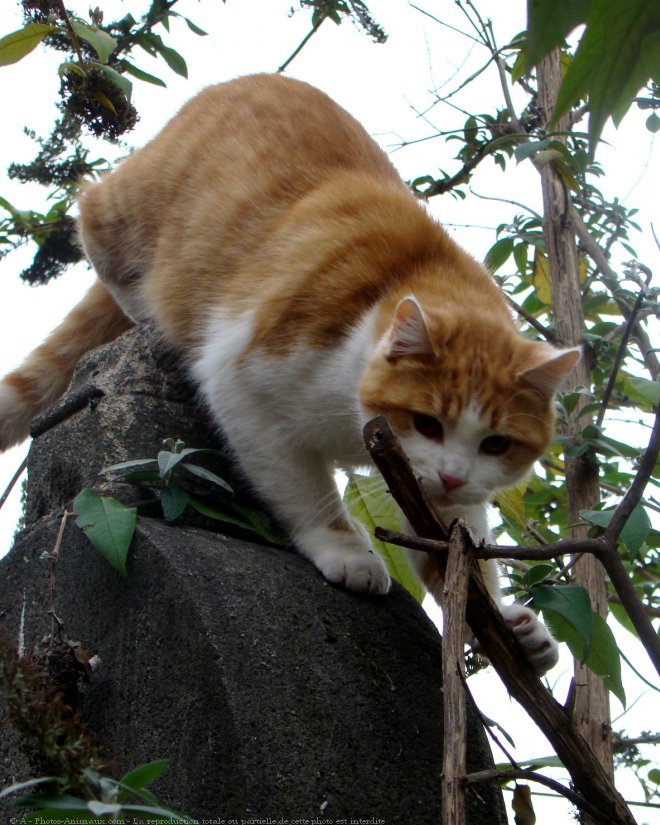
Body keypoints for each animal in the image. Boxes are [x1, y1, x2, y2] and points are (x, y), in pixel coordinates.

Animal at [0, 74, 576, 672]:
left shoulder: (424, 482)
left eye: (495, 444)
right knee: (90, 211)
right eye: (427, 423)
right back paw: (142, 302)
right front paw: (345, 549)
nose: (453, 476)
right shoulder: (241, 381)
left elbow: (454, 541)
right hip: (133, 210)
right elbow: (304, 487)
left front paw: (506, 625)